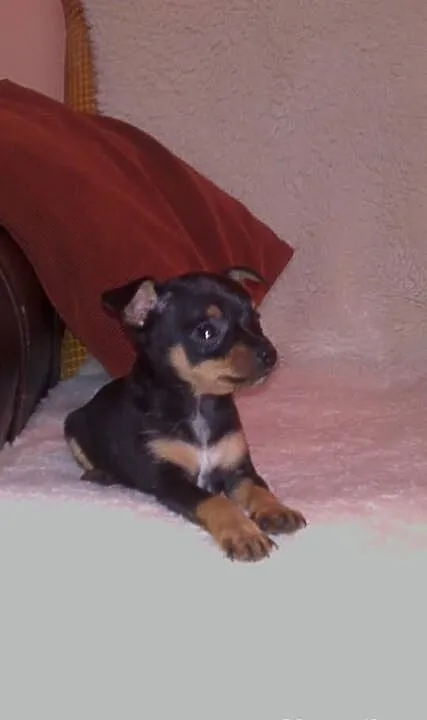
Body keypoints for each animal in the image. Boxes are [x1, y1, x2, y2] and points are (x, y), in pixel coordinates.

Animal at [64, 267, 307, 561]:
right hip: (72, 425)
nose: (270, 354)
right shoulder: (170, 480)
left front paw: (276, 509)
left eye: (256, 319)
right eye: (206, 332)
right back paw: (102, 475)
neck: (199, 404)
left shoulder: (238, 470)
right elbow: (215, 501)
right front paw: (244, 533)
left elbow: (258, 488)